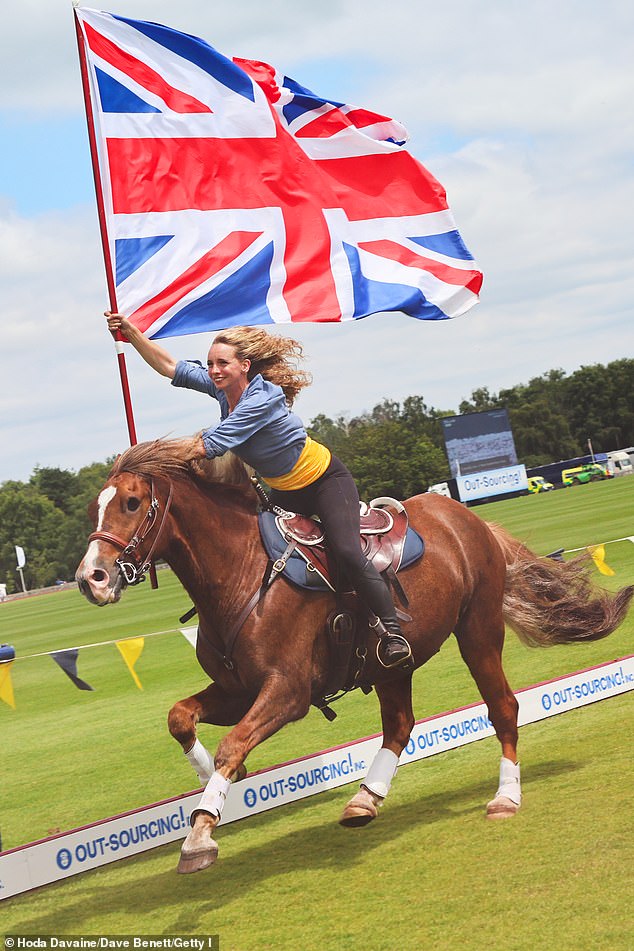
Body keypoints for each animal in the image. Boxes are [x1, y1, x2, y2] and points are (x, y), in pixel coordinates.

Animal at [76, 442, 628, 872]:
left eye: (131, 502)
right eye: (93, 510)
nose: (90, 579)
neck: (240, 575)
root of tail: (469, 517)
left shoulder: (288, 692)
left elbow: (233, 744)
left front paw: (201, 833)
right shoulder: (238, 690)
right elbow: (180, 718)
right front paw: (211, 784)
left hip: (478, 630)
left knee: (503, 707)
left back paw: (506, 797)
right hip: (392, 662)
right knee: (400, 724)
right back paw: (365, 798)